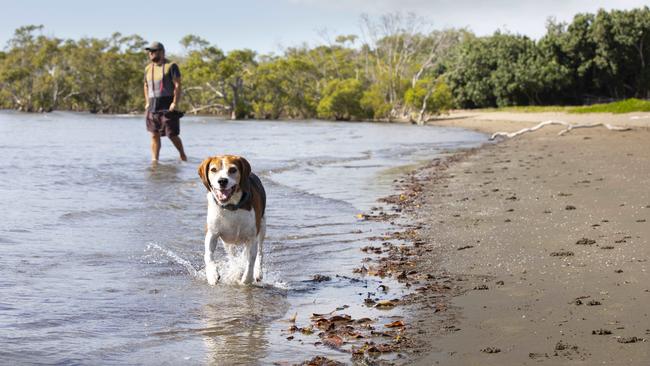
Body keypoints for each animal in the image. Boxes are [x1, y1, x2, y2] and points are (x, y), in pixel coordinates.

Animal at [199, 156, 268, 284]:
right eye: (213, 169)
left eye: (232, 170)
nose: (222, 181)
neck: (231, 207)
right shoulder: (212, 233)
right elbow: (208, 255)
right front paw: (212, 274)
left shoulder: (252, 238)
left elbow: (251, 260)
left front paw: (246, 280)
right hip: (227, 242)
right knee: (232, 255)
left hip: (262, 227)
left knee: (260, 252)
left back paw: (257, 273)